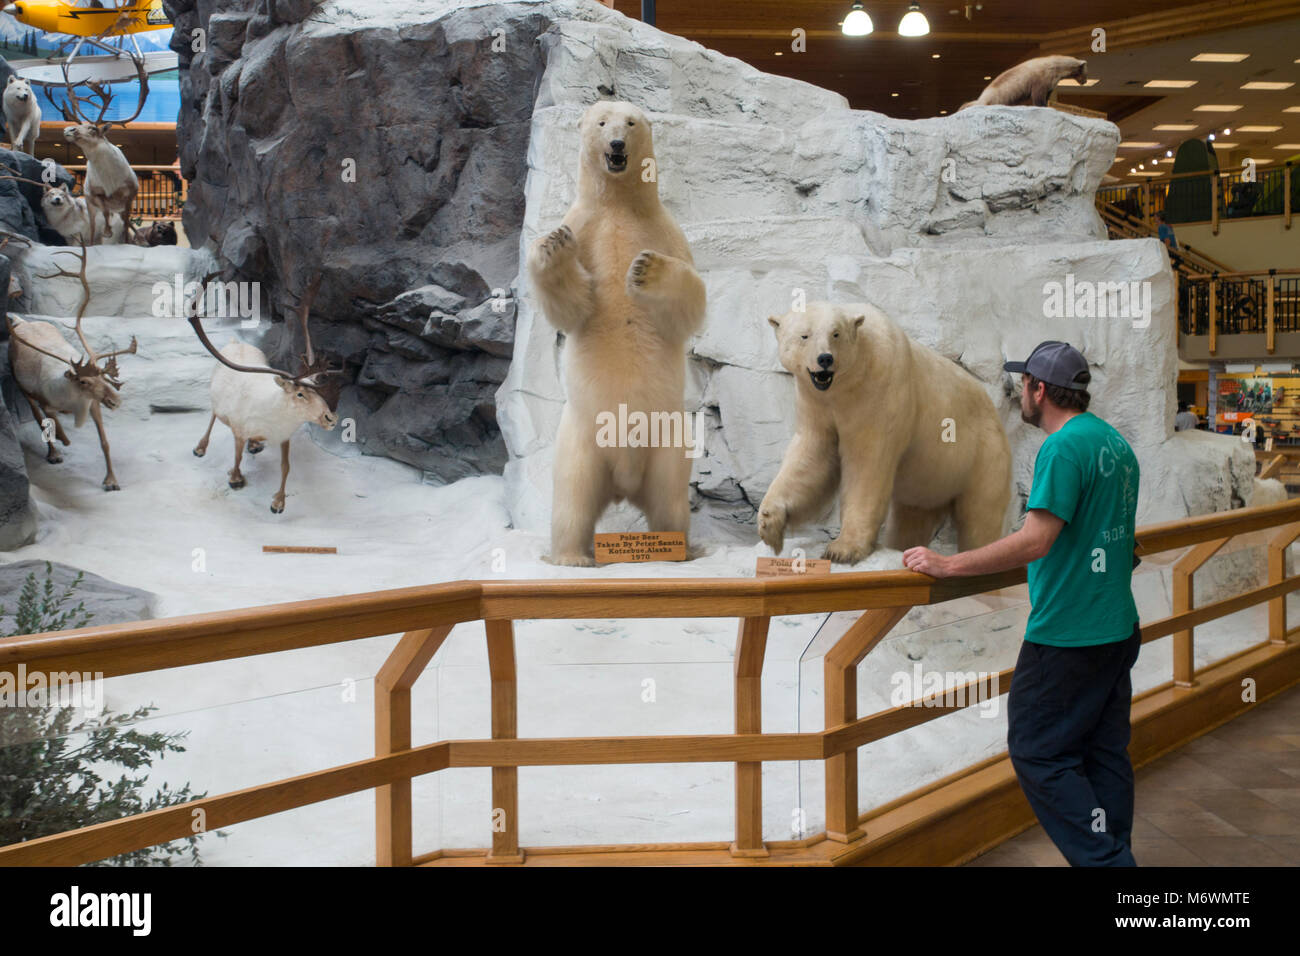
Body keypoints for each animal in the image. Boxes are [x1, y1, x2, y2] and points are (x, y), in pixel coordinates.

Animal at [522, 100, 707, 564]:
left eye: (631, 122)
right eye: (602, 123)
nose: (618, 145)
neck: (620, 207)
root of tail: (624, 483)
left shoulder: (666, 231)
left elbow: (690, 298)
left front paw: (646, 269)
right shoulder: (584, 224)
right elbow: (573, 306)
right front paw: (552, 245)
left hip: (668, 439)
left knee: (670, 498)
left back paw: (680, 550)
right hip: (581, 439)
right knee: (572, 498)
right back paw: (570, 556)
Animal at [759, 303, 1008, 564]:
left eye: (835, 334)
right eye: (804, 335)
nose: (825, 359)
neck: (846, 384)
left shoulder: (880, 391)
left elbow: (866, 464)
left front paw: (842, 549)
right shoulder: (815, 403)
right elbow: (812, 457)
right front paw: (769, 522)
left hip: (984, 453)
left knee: (981, 517)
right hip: (931, 479)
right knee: (912, 518)